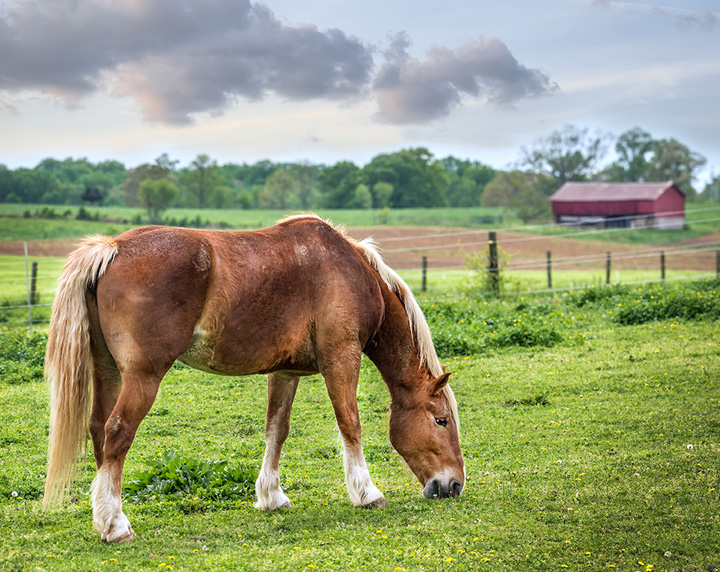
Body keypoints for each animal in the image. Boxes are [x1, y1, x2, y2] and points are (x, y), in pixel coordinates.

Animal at [42, 214, 464, 542]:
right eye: (441, 420)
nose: (455, 485)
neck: (350, 270)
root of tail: (111, 247)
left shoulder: (286, 371)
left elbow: (277, 429)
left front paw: (271, 496)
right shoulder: (342, 359)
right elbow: (350, 423)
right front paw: (367, 493)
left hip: (108, 372)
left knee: (99, 430)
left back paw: (104, 516)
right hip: (143, 377)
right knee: (117, 432)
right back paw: (116, 525)